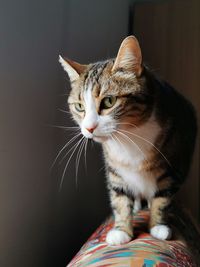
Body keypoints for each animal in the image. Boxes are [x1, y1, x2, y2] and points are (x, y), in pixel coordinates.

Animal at [58, 36, 196, 247]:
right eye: (80, 106)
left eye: (109, 101)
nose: (89, 128)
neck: (128, 137)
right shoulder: (115, 167)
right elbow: (119, 197)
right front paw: (122, 230)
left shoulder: (173, 166)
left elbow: (163, 198)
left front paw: (158, 226)